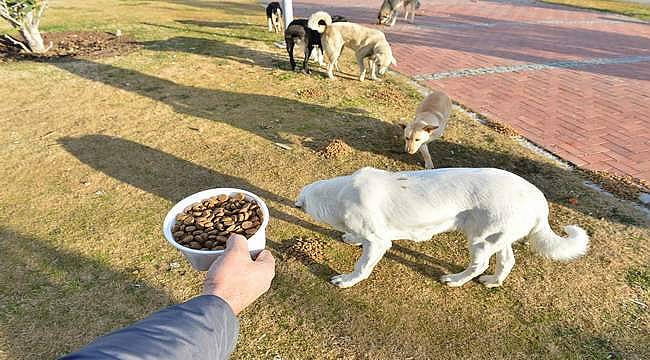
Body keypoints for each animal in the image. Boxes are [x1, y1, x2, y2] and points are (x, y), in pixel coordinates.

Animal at [294, 167, 588, 288]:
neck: (342, 192)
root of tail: (539, 200)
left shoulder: (379, 242)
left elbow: (362, 266)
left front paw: (347, 281)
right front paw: (352, 237)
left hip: (480, 239)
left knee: (479, 264)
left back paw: (456, 281)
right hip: (497, 237)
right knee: (507, 261)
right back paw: (493, 282)